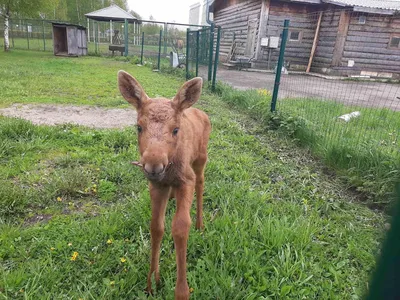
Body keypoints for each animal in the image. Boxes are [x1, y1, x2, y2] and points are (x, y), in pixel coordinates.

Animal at [117, 71, 211, 298]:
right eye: (139, 127)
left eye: (176, 129)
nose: (153, 165)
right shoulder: (157, 186)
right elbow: (156, 227)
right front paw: (152, 282)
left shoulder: (186, 180)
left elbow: (180, 227)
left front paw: (182, 292)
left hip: (201, 159)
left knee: (201, 183)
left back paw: (200, 224)